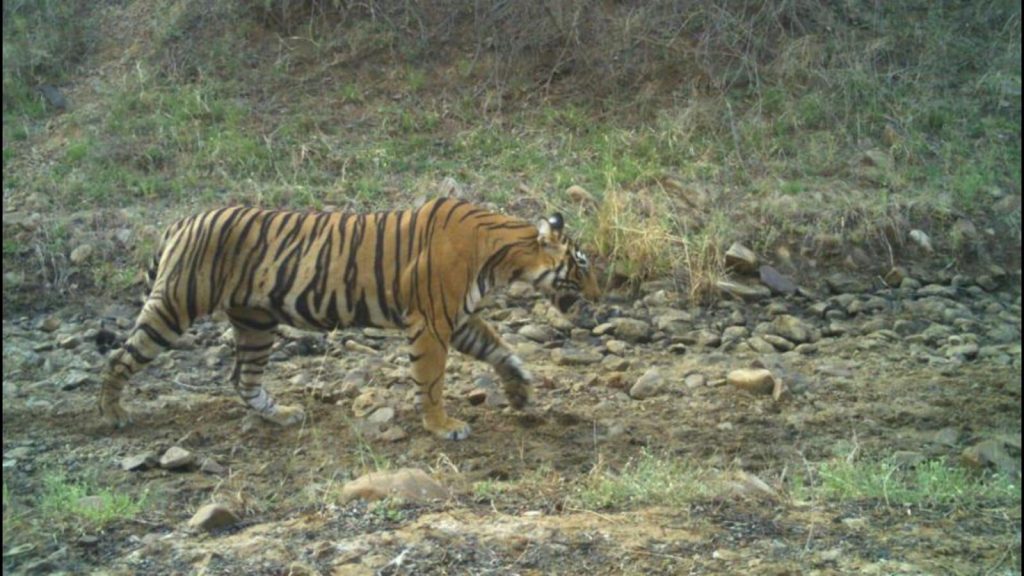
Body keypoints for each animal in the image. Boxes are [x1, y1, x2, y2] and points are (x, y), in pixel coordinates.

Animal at [98, 197, 600, 440]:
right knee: (118, 359)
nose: (599, 295)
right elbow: (432, 381)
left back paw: (281, 415)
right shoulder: (432, 321)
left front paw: (519, 391)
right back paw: (113, 414)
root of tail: (180, 222)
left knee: (243, 378)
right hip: (175, 305)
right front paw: (442, 427)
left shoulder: (457, 317)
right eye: (582, 265)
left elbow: (500, 348)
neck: (503, 256)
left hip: (255, 321)